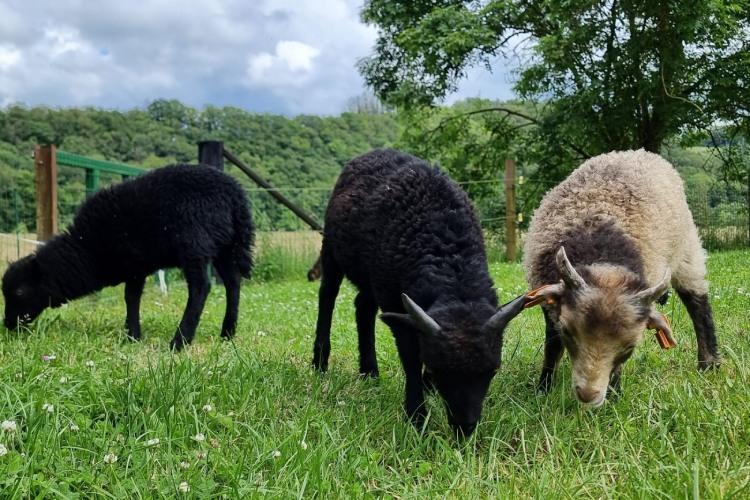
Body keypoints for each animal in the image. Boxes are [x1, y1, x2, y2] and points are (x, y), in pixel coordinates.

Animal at [1, 162, 256, 350]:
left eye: (19, 292)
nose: (8, 324)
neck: (86, 249)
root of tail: (235, 196)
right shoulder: (138, 266)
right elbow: (132, 297)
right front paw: (132, 333)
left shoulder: (134, 264)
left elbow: (130, 297)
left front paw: (132, 334)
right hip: (226, 246)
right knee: (233, 283)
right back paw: (227, 333)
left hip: (194, 241)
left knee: (200, 287)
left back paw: (180, 341)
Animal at [312, 147, 528, 434]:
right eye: (438, 370)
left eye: (493, 371)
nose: (465, 428)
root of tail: (375, 151)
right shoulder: (395, 302)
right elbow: (410, 358)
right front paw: (417, 416)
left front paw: (427, 391)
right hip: (332, 251)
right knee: (327, 296)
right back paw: (320, 361)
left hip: (373, 275)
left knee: (363, 307)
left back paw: (370, 372)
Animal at [524, 148, 724, 406]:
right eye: (568, 331)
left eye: (630, 348)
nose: (588, 395)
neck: (603, 255)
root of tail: (639, 152)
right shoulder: (551, 305)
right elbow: (552, 345)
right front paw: (543, 388)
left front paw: (614, 398)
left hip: (687, 251)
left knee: (698, 303)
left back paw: (709, 364)